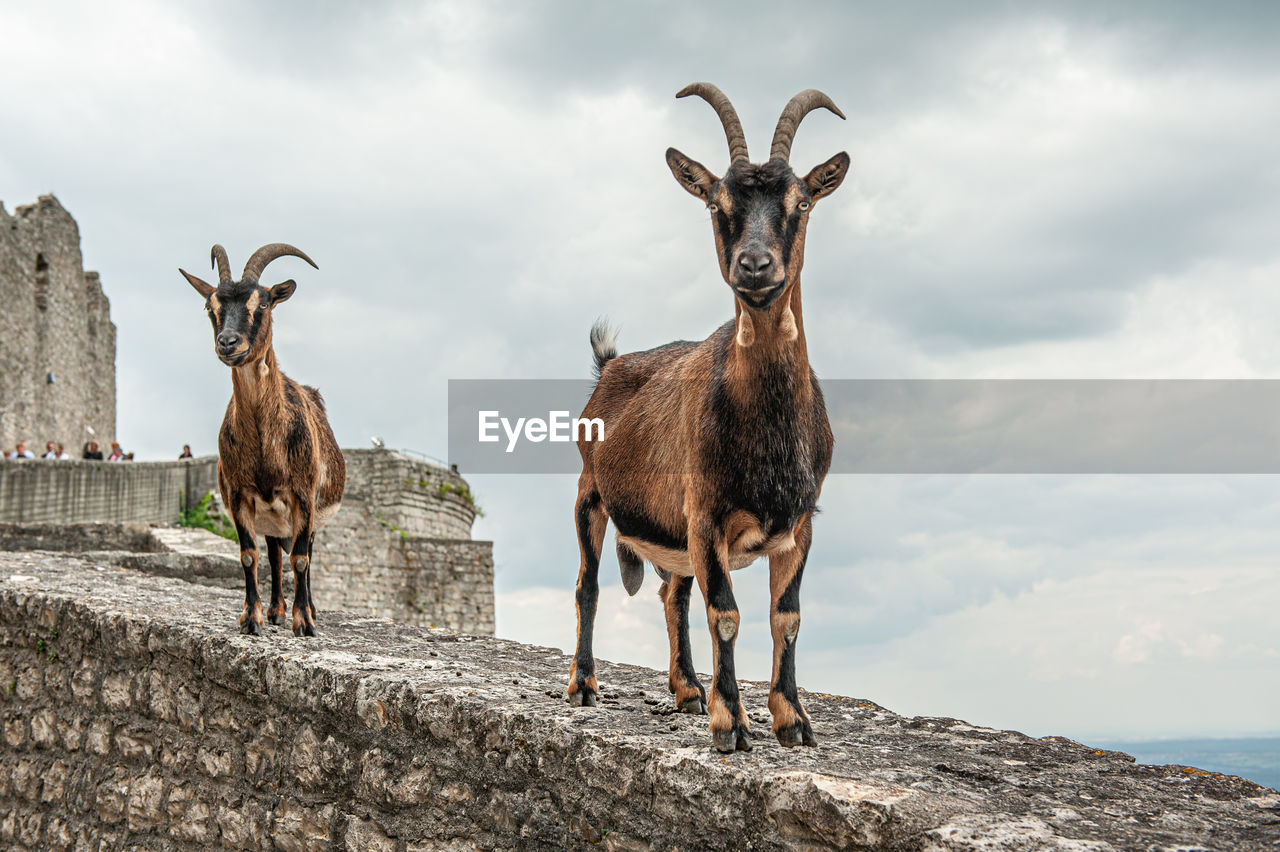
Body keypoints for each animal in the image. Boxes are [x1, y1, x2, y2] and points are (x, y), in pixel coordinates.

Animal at [180, 241, 348, 634]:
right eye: (210, 306)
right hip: (272, 516)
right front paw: (252, 617)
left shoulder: (303, 496)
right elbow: (248, 555)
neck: (264, 447)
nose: (228, 343)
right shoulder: (239, 495)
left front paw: (305, 622)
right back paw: (275, 611)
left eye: (265, 303)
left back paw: (307, 609)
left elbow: (300, 559)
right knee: (272, 554)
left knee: (305, 553)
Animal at [570, 84, 849, 752]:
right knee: (589, 585)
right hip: (592, 495)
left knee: (672, 593)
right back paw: (586, 685)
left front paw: (792, 719)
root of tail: (608, 367)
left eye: (801, 201)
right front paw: (731, 723)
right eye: (717, 203)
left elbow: (786, 616)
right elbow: (726, 612)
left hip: (675, 532)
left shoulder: (800, 521)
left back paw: (688, 690)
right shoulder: (707, 513)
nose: (754, 266)